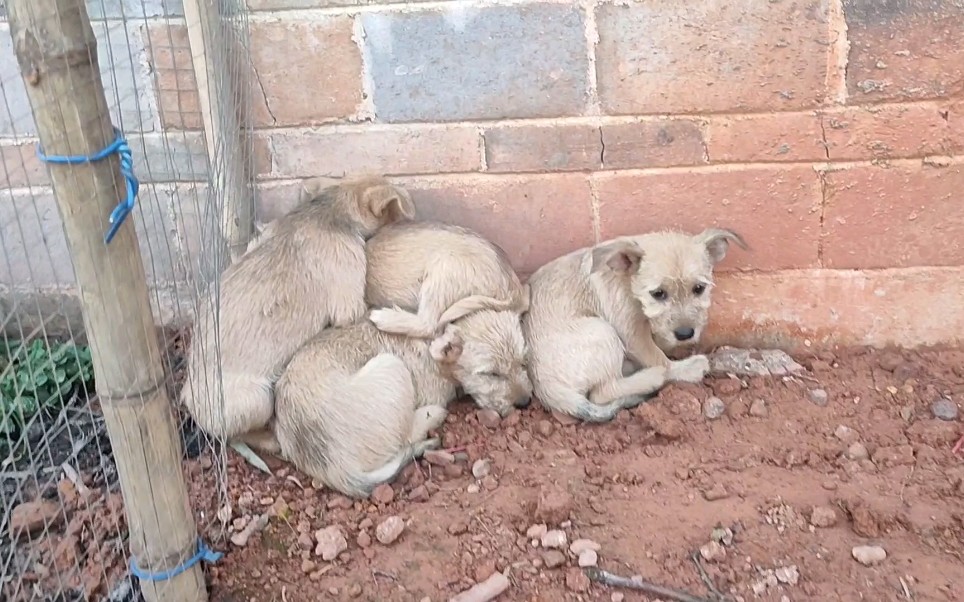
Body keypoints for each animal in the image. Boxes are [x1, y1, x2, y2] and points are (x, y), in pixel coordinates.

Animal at [272, 308, 528, 494]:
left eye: (523, 361)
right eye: (491, 373)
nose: (525, 402)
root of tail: (336, 468)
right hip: (391, 365)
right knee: (407, 436)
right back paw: (434, 415)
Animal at [528, 227, 744, 420]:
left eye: (699, 288)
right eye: (658, 293)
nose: (685, 334)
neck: (627, 279)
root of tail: (544, 387)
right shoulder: (631, 332)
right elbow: (659, 359)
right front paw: (686, 368)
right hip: (602, 331)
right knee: (601, 393)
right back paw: (653, 378)